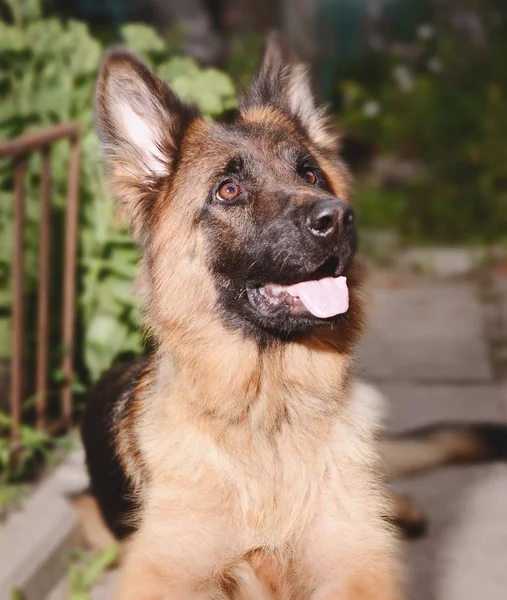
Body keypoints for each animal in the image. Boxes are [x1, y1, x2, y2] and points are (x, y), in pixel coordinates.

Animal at [80, 34, 507, 600]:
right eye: (228, 190)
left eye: (309, 173)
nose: (339, 218)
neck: (269, 412)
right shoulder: (163, 574)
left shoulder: (354, 566)